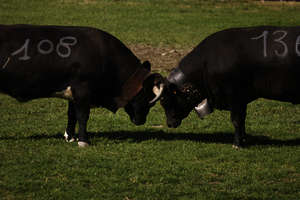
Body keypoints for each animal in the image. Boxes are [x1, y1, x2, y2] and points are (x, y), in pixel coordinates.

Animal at [0, 24, 163, 147]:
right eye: (148, 97)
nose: (141, 121)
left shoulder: (73, 93)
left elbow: (72, 114)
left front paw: (70, 137)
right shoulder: (83, 89)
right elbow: (83, 115)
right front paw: (83, 141)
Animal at [156, 26, 300, 148]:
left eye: (167, 99)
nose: (169, 123)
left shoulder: (234, 96)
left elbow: (236, 120)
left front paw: (237, 144)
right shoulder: (242, 99)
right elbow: (242, 119)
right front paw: (243, 139)